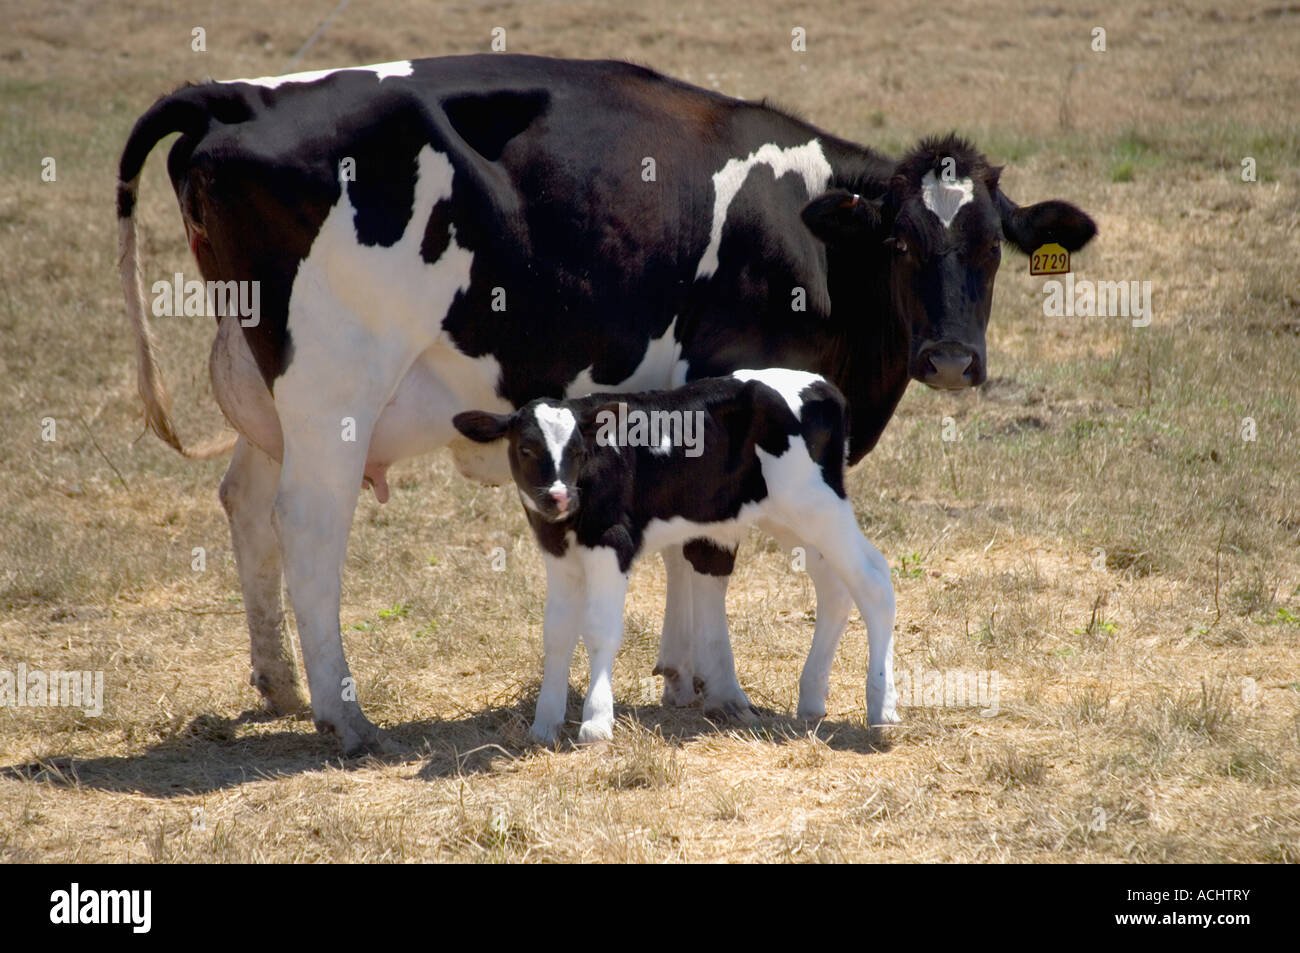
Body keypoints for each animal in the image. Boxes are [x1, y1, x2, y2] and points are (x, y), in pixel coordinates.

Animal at [454, 366, 894, 743]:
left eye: (578, 452)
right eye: (526, 449)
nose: (559, 497)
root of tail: (822, 385)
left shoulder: (613, 543)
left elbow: (599, 629)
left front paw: (596, 723)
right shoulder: (557, 553)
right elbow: (557, 632)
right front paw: (544, 724)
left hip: (818, 504)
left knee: (873, 579)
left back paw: (882, 709)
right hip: (788, 517)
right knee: (836, 587)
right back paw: (812, 699)